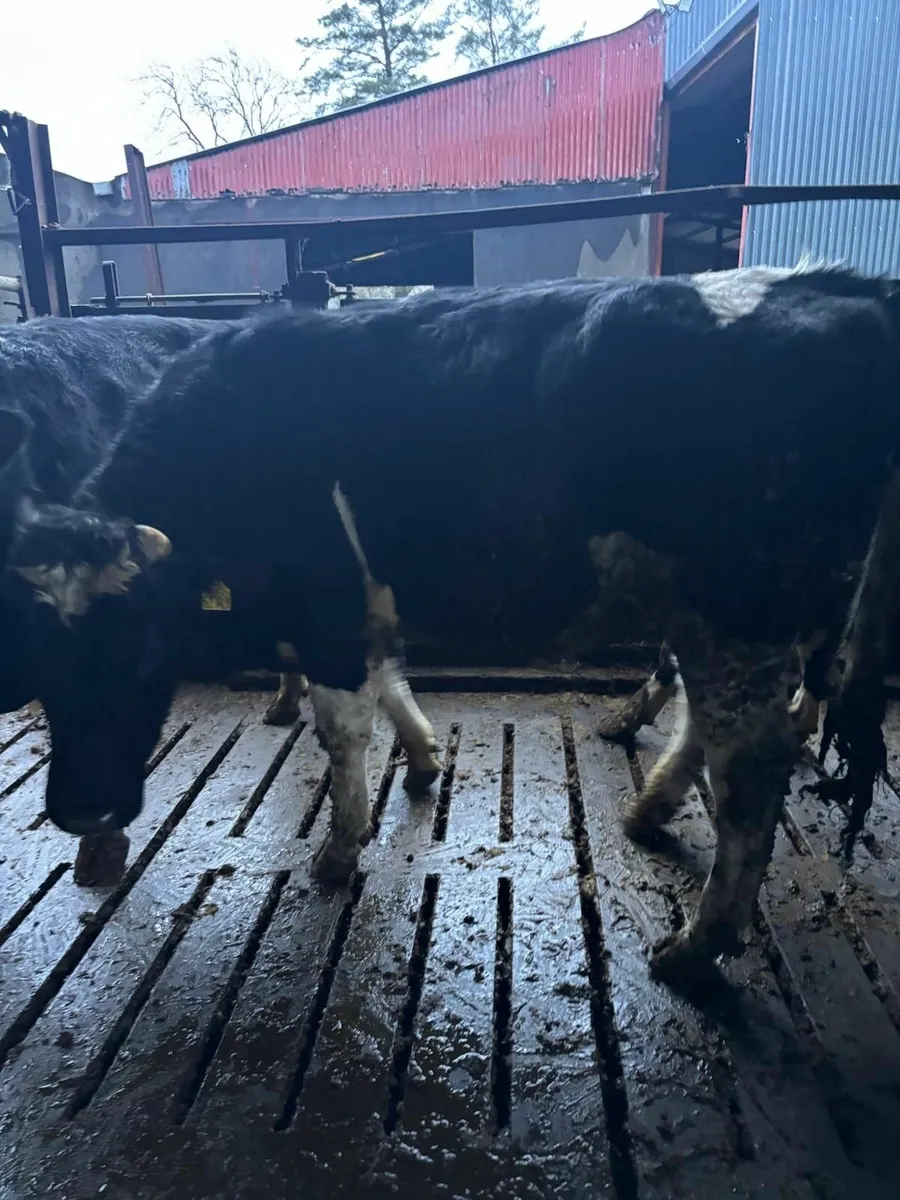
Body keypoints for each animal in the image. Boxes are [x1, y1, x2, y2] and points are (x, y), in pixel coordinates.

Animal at [3, 265, 899, 990]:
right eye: (39, 665)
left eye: (137, 644)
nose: (82, 812)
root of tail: (846, 287)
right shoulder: (364, 607)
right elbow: (392, 682)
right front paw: (427, 759)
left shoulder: (329, 607)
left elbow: (344, 732)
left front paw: (339, 850)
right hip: (713, 612)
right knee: (711, 728)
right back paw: (649, 810)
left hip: (740, 608)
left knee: (751, 763)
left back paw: (694, 945)